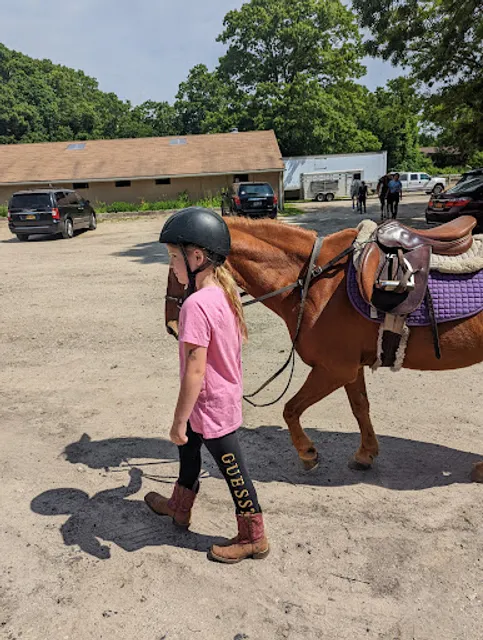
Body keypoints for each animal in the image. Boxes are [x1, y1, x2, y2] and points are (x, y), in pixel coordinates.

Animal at [164, 217, 483, 482]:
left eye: (173, 264)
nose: (172, 325)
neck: (316, 280)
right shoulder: (350, 368)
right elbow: (360, 407)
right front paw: (365, 454)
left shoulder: (334, 369)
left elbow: (290, 409)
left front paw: (308, 453)